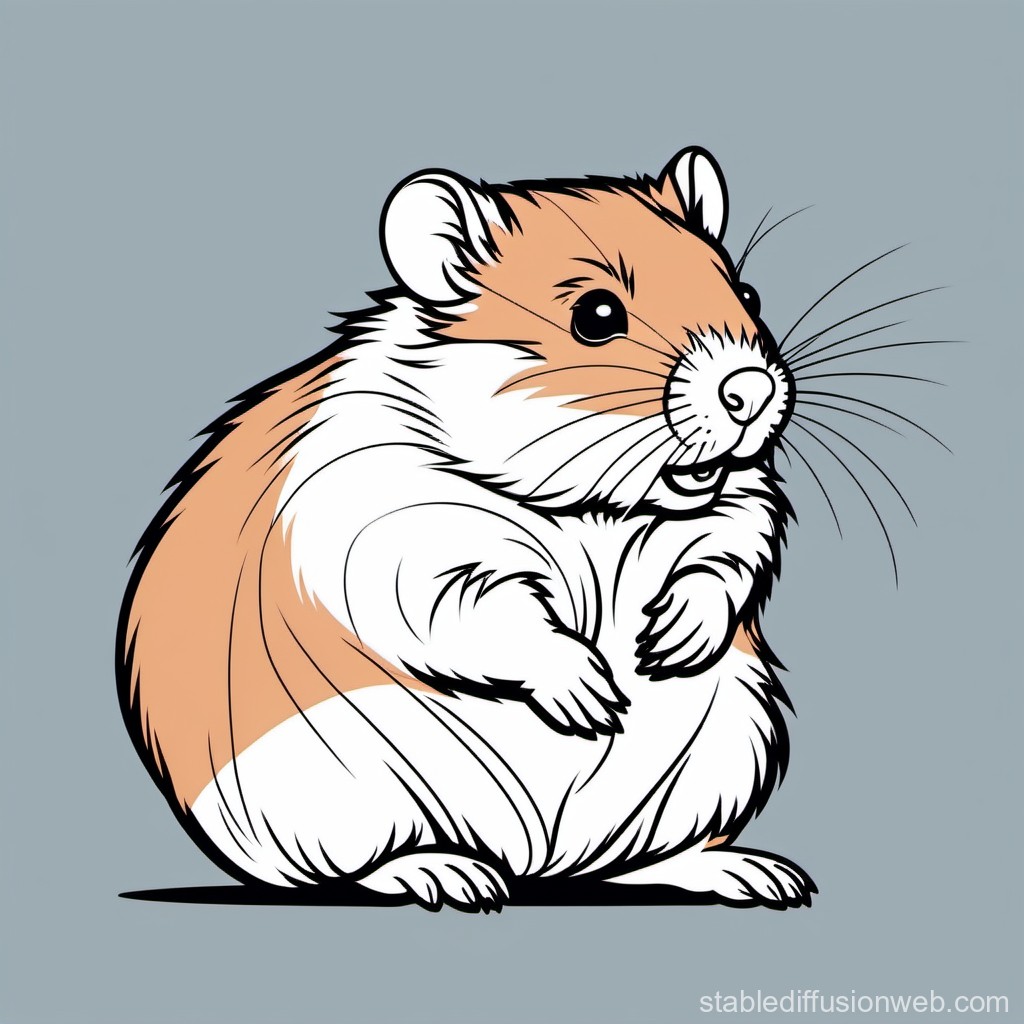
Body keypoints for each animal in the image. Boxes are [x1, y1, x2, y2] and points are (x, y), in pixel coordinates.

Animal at [117, 146, 814, 911]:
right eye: (597, 314)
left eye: (748, 294)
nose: (752, 392)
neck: (587, 507)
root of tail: (541, 861)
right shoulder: (400, 543)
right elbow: (487, 611)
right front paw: (592, 696)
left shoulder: (737, 506)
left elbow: (723, 558)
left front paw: (670, 642)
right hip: (332, 799)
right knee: (345, 870)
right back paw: (447, 873)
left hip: (725, 753)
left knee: (635, 860)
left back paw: (748, 873)